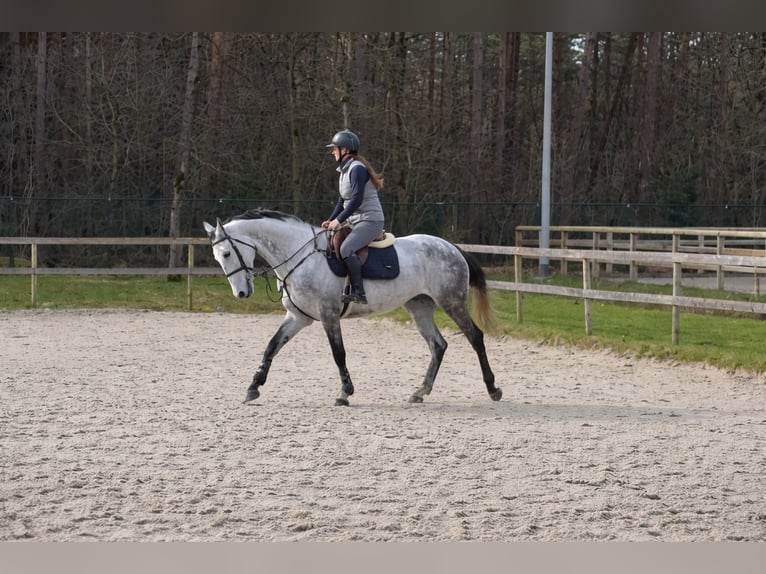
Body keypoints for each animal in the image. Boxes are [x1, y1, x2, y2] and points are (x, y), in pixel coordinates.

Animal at [203, 209, 502, 406]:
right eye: (217, 257)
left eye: (227, 253)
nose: (241, 293)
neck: (300, 255)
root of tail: (451, 247)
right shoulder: (298, 317)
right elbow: (271, 346)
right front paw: (253, 387)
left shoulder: (328, 315)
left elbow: (339, 353)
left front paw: (345, 392)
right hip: (419, 307)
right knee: (438, 345)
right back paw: (420, 391)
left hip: (451, 302)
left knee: (475, 337)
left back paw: (493, 388)